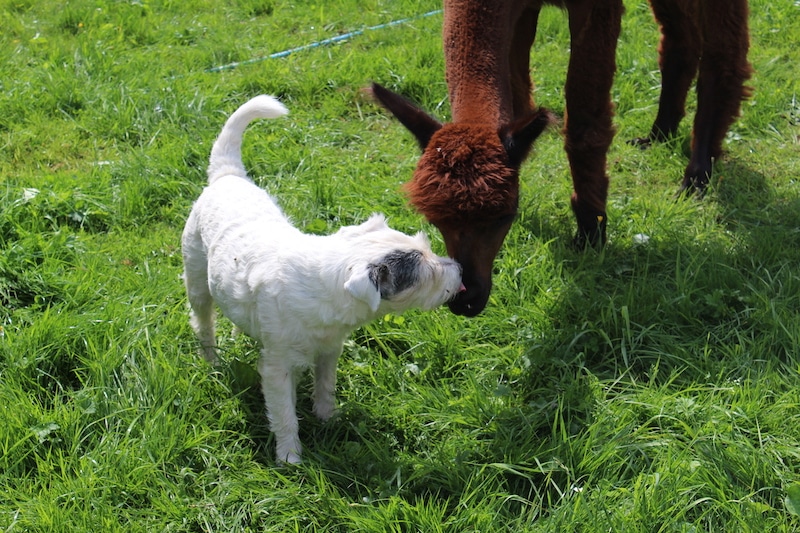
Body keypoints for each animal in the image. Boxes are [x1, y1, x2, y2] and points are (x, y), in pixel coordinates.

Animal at [181, 95, 462, 462]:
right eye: (427, 273)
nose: (460, 269)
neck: (321, 284)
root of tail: (227, 176)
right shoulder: (277, 367)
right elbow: (284, 413)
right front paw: (289, 456)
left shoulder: (330, 349)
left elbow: (326, 385)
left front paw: (328, 418)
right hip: (196, 277)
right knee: (203, 321)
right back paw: (211, 359)